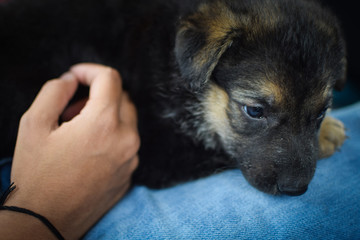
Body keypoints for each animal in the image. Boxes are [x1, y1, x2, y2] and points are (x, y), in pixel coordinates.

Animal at [0, 0, 348, 195]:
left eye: (319, 112)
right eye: (254, 110)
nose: (295, 189)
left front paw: (327, 129)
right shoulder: (157, 153)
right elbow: (219, 152)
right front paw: (329, 136)